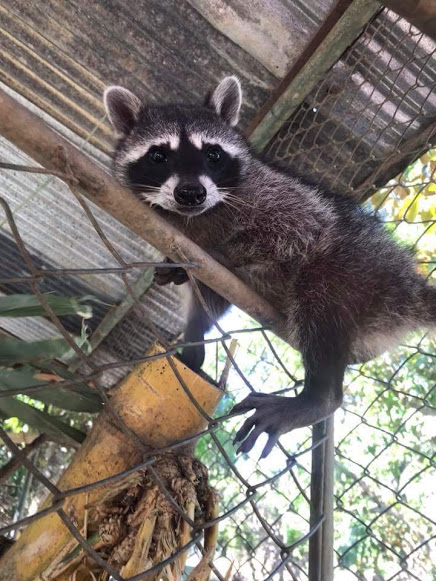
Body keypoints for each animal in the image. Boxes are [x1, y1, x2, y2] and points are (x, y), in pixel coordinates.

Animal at [104, 76, 434, 458]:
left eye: (212, 154)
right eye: (158, 155)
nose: (191, 192)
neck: (196, 216)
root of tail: (405, 280)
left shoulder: (278, 197)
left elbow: (295, 230)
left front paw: (221, 253)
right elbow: (210, 295)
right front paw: (194, 332)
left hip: (355, 265)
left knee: (320, 298)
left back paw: (317, 398)